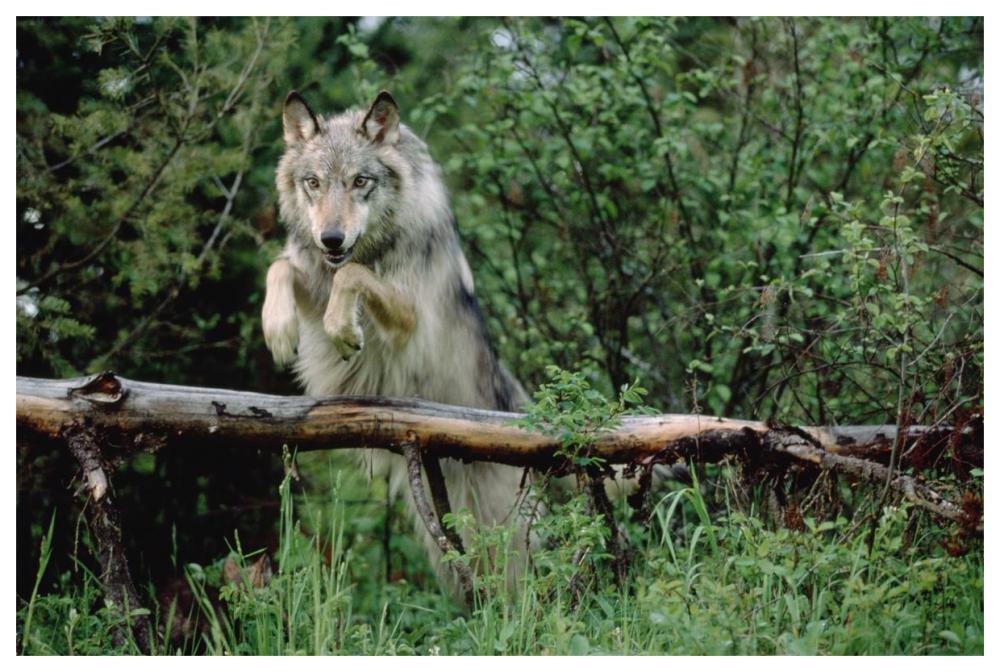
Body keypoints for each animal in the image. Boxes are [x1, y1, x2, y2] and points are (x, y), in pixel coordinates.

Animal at [261, 89, 532, 588]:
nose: (331, 238)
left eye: (360, 181)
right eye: (313, 183)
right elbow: (282, 265)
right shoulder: (312, 278)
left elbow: (351, 274)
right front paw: (278, 327)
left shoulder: (409, 320)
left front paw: (344, 328)